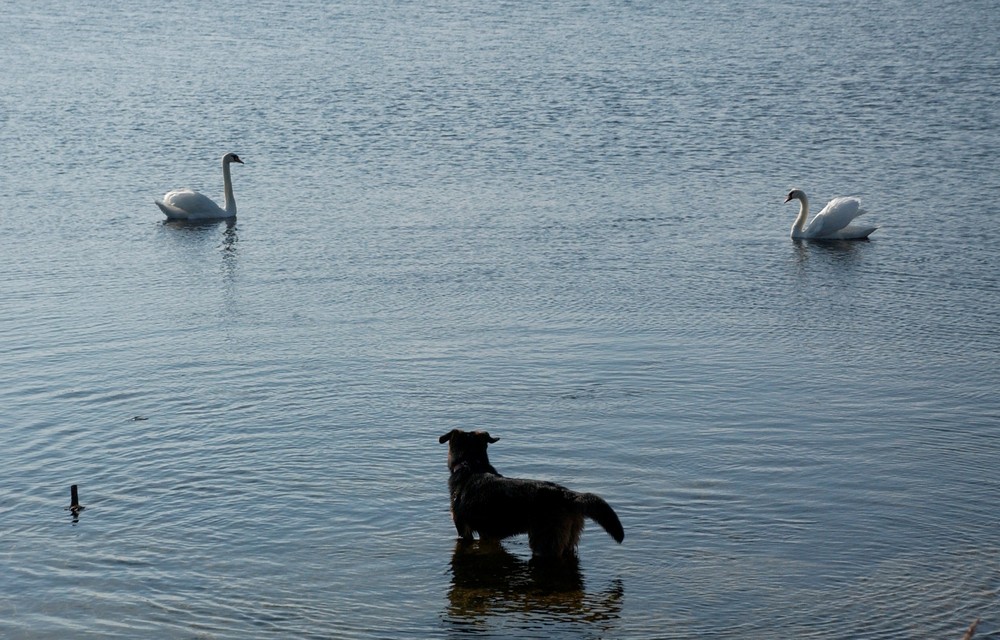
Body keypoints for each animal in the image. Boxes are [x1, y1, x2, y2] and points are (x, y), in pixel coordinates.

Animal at [440, 430, 624, 560]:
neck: (470, 465)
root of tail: (568, 495)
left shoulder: (463, 529)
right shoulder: (489, 535)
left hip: (545, 542)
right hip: (569, 539)